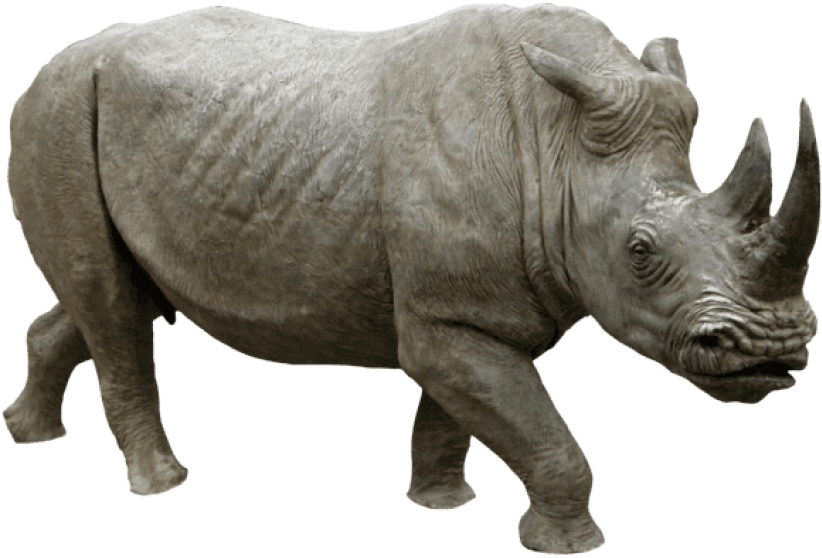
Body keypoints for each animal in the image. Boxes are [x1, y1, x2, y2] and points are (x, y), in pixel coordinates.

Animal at [4, 3, 819, 554]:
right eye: (641, 251)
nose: (774, 350)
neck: (559, 150)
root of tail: (58, 61)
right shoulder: (453, 316)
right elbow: (539, 432)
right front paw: (566, 546)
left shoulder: (467, 307)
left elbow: (458, 413)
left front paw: (440, 503)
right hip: (58, 111)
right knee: (112, 309)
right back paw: (162, 483)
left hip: (88, 117)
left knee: (102, 302)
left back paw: (30, 433)